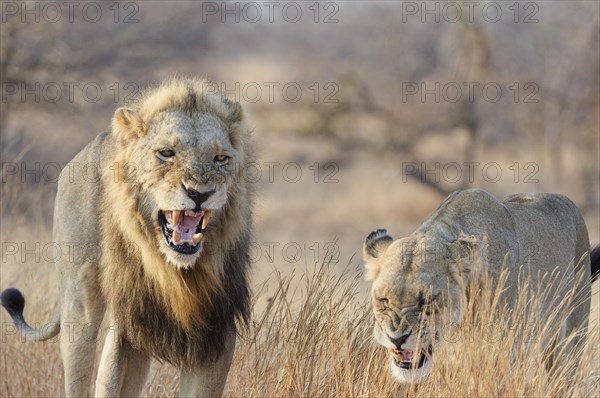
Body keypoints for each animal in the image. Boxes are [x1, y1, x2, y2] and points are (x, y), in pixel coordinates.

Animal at [1, 76, 252, 396]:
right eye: (166, 153)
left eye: (221, 158)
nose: (200, 194)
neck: (175, 274)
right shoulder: (127, 326)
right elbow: (108, 382)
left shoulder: (217, 333)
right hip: (80, 303)